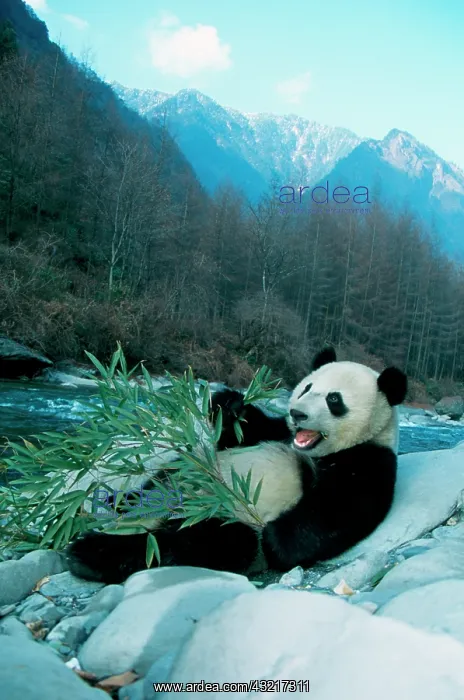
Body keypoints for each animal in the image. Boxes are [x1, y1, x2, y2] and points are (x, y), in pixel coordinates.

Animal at [67, 347, 407, 583]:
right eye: (307, 388)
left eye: (334, 400)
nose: (297, 413)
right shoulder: (276, 433)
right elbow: (237, 434)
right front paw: (230, 404)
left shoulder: (370, 460)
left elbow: (335, 514)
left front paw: (275, 537)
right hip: (177, 477)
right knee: (159, 484)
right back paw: (115, 504)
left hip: (215, 520)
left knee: (203, 542)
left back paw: (90, 553)